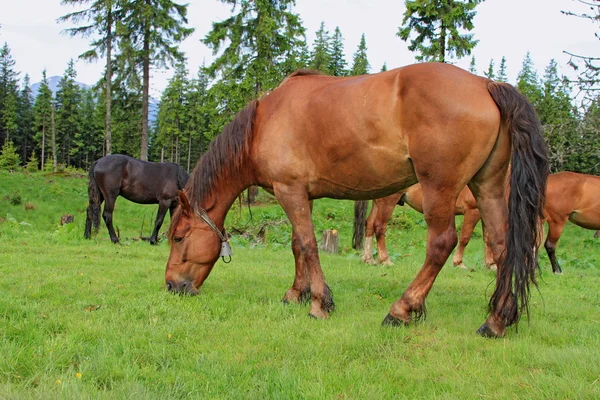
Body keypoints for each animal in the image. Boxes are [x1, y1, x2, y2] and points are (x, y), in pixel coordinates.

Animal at [358, 184, 494, 268]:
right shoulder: (472, 211)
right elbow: (465, 238)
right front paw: (458, 263)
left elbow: (488, 239)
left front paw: (490, 264)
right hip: (387, 202)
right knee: (379, 227)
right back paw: (385, 260)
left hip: (378, 203)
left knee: (369, 224)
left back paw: (368, 259)